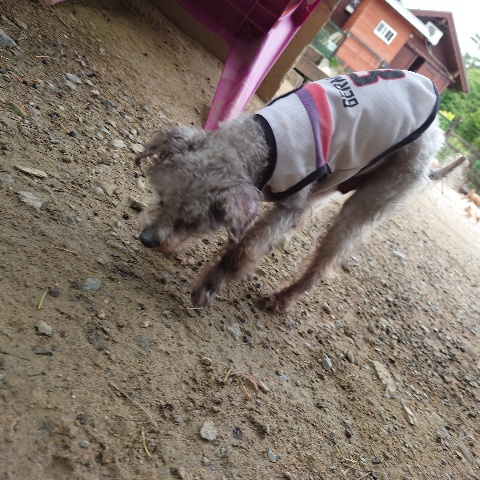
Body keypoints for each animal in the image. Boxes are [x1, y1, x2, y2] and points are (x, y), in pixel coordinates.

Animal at [136, 69, 466, 312]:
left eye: (192, 222)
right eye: (162, 199)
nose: (147, 240)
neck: (261, 146)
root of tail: (437, 136)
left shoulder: (290, 204)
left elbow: (243, 251)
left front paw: (208, 287)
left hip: (372, 199)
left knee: (324, 263)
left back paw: (282, 298)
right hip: (335, 179)